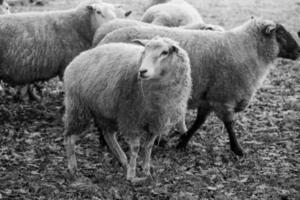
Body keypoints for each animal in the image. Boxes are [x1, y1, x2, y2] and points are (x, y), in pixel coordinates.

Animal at [63, 36, 192, 181]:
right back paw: (72, 167)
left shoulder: (156, 122)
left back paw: (123, 159)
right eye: (144, 51)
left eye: (164, 52)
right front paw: (132, 175)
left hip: (106, 111)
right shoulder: (131, 117)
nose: (142, 71)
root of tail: (78, 58)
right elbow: (135, 147)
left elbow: (148, 146)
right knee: (69, 137)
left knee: (108, 135)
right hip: (78, 106)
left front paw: (146, 171)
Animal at [99, 17, 300, 156]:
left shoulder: (209, 96)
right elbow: (229, 124)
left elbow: (199, 122)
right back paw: (105, 141)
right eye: (280, 33)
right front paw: (238, 149)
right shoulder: (223, 95)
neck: (245, 49)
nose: (299, 51)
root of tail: (103, 39)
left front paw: (183, 141)